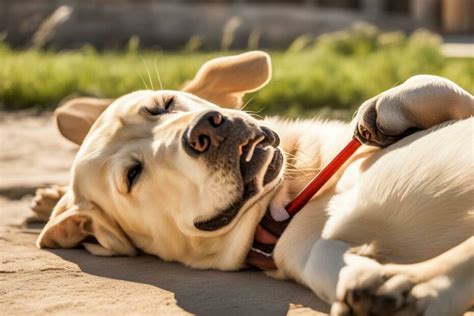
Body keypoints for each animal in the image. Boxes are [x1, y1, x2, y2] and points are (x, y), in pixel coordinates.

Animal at [33, 51, 474, 314]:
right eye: (132, 175)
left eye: (163, 105)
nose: (205, 130)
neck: (289, 197)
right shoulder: (304, 253)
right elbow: (330, 257)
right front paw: (365, 277)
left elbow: (432, 84)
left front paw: (383, 111)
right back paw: (411, 290)